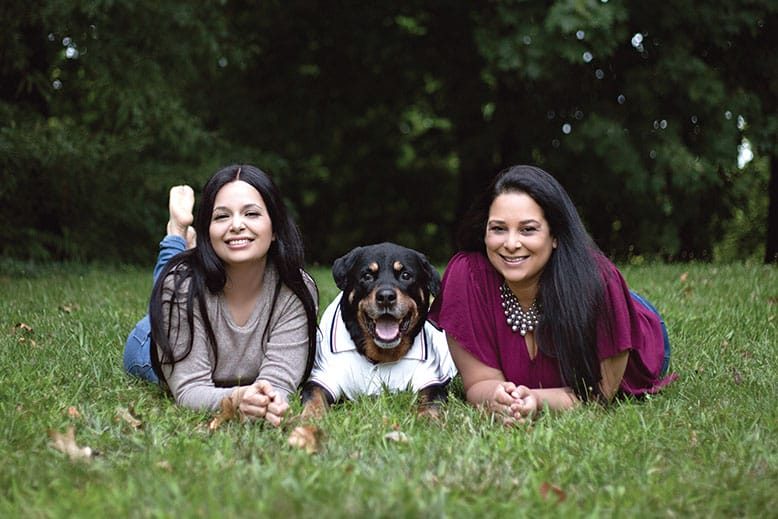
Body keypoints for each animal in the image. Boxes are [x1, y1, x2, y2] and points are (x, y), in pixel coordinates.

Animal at [298, 245, 454, 422]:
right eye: (367, 276)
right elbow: (315, 397)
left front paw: (427, 419)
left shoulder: (432, 382)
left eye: (405, 275)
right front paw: (310, 418)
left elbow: (432, 402)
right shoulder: (321, 378)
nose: (386, 297)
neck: (380, 356)